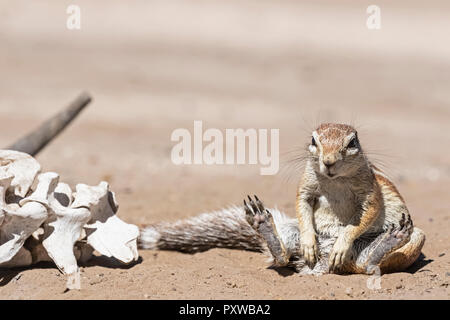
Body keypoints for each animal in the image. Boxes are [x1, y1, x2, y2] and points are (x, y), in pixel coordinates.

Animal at [141, 124, 426, 274]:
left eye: (352, 142)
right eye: (314, 140)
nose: (328, 161)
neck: (335, 181)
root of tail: (322, 263)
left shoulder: (370, 191)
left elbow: (366, 214)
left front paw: (343, 242)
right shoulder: (306, 185)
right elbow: (303, 204)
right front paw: (310, 240)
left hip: (415, 238)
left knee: (369, 265)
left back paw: (388, 241)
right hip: (291, 233)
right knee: (282, 258)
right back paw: (266, 228)